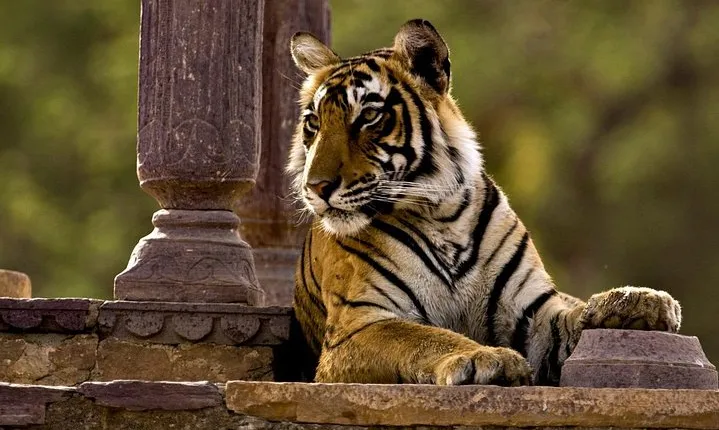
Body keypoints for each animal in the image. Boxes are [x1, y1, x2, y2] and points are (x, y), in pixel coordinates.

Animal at [286, 19, 681, 386]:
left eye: (369, 116)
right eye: (313, 123)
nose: (316, 186)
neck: (439, 215)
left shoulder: (531, 313)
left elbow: (568, 320)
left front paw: (640, 302)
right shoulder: (359, 325)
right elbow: (423, 337)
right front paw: (487, 358)